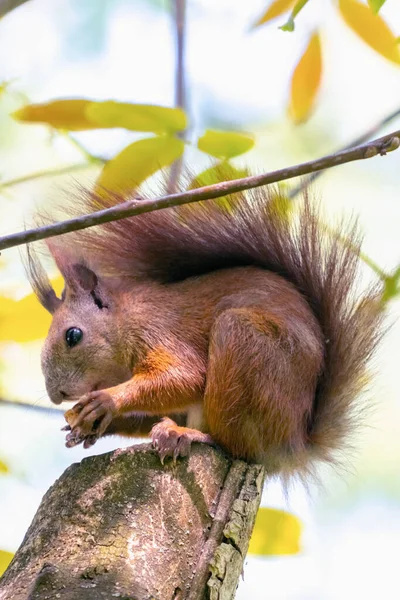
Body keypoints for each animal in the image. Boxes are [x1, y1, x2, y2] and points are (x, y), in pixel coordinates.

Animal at [26, 183, 382, 478]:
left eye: (73, 335)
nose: (56, 394)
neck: (127, 320)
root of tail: (292, 445)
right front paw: (91, 425)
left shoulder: (160, 332)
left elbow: (186, 377)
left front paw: (106, 401)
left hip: (243, 345)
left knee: (233, 444)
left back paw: (192, 435)